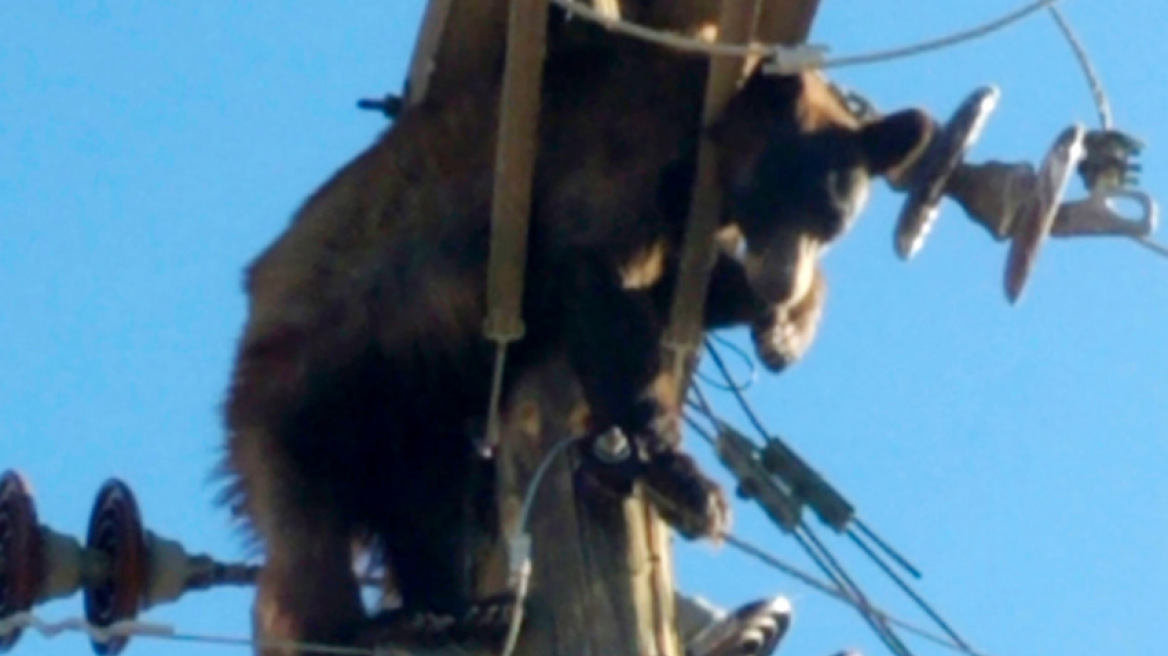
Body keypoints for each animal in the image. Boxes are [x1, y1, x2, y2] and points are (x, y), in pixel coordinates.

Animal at [217, 23, 929, 653]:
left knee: (429, 507)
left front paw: (786, 324)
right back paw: (356, 628)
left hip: (412, 419)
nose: (781, 283)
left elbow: (672, 291)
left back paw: (452, 612)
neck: (700, 149)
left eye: (831, 221)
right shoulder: (616, 156)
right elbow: (601, 287)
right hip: (309, 390)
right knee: (307, 535)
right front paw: (676, 472)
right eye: (779, 195)